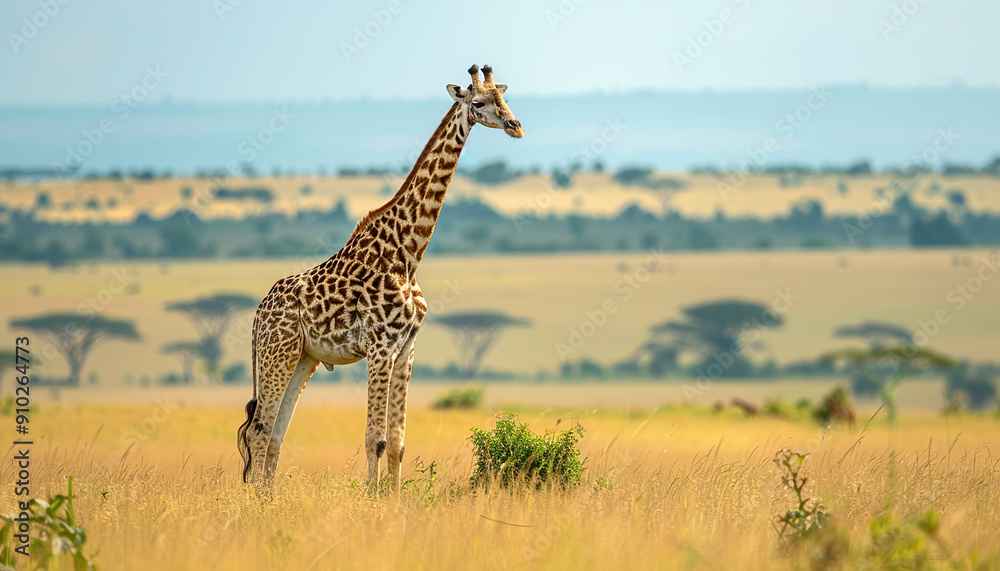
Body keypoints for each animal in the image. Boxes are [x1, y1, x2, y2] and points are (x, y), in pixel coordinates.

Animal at [238, 64, 524, 495]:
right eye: (477, 102)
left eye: (503, 97)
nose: (515, 126)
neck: (408, 253)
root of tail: (258, 315)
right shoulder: (380, 346)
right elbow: (375, 438)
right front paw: (372, 502)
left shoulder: (406, 348)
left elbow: (398, 443)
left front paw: (393, 503)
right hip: (278, 353)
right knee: (258, 431)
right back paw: (255, 504)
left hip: (303, 359)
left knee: (274, 434)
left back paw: (269, 501)